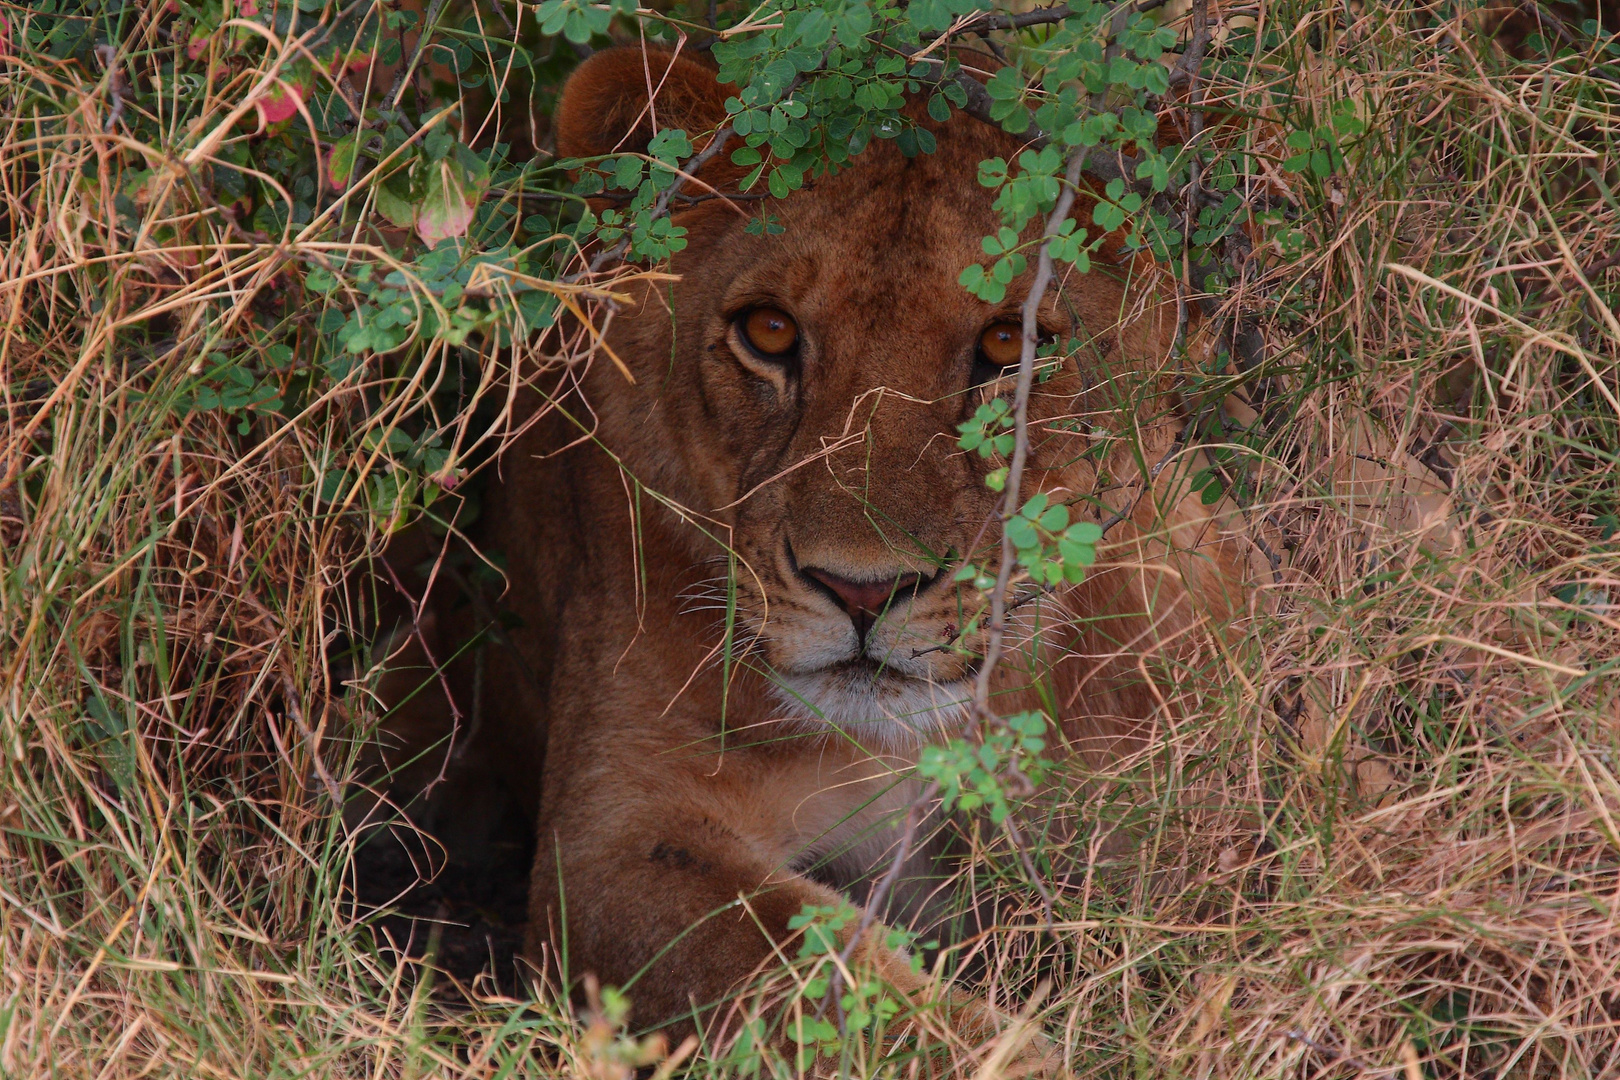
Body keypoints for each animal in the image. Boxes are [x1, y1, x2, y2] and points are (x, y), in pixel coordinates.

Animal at [372, 44, 1270, 1075]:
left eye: (1012, 343)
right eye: (769, 332)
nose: (861, 591)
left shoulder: (1182, 794)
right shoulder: (614, 838)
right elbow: (813, 980)